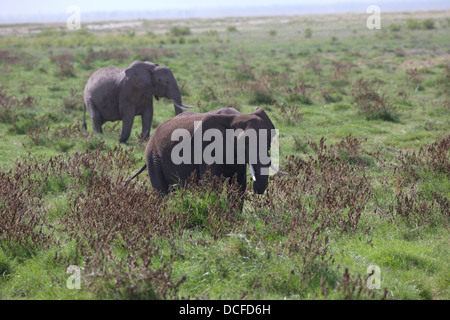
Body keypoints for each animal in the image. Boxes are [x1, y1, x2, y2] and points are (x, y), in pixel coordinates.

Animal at [127, 107, 288, 196]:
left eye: (269, 140)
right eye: (244, 142)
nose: (256, 190)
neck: (236, 117)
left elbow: (238, 183)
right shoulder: (206, 148)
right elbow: (212, 183)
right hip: (153, 158)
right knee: (161, 192)